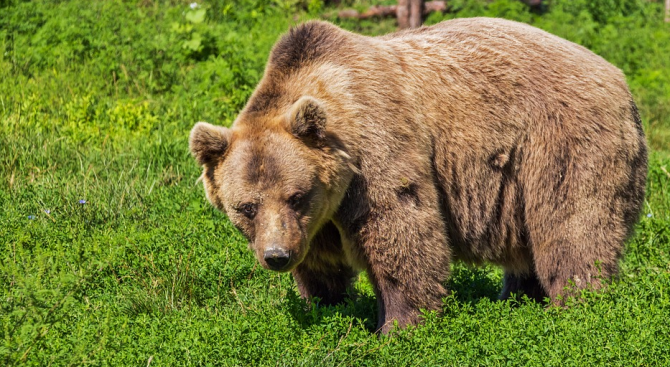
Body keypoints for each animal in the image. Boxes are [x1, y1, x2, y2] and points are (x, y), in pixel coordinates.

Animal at [190, 16, 652, 334]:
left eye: (295, 195)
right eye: (246, 207)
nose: (276, 256)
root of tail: (619, 78)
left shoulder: (376, 149)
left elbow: (401, 230)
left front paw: (397, 326)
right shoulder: (318, 216)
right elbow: (321, 262)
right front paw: (325, 304)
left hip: (561, 143)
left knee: (573, 227)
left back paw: (576, 306)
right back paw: (517, 298)